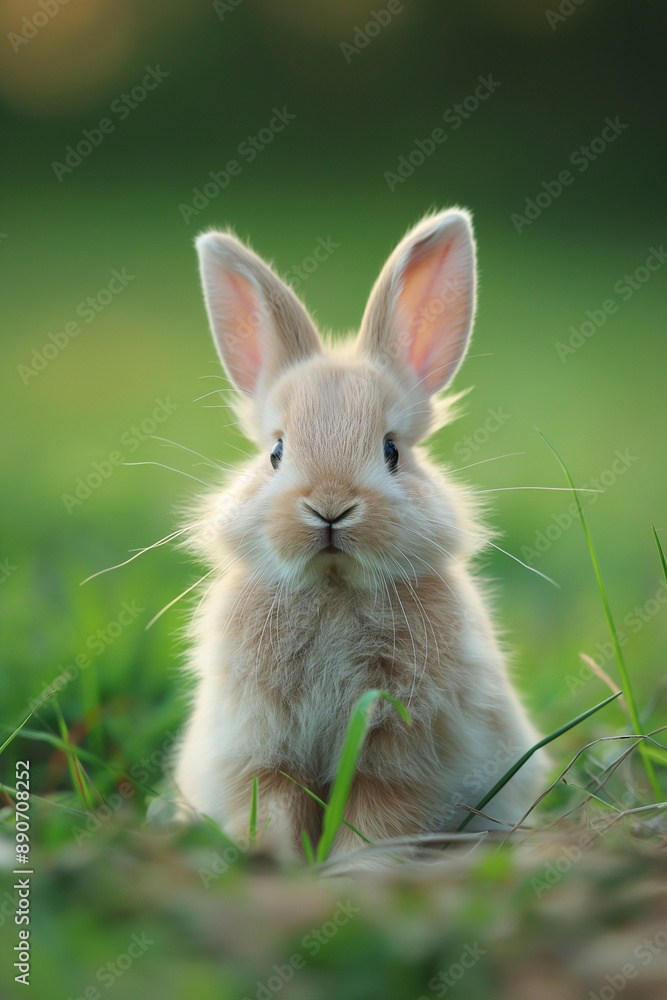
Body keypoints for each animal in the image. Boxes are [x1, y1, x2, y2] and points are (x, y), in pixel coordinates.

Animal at [173, 208, 547, 864]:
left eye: (392, 451)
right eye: (275, 451)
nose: (329, 507)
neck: (333, 587)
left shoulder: (402, 753)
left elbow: (376, 815)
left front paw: (353, 870)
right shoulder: (262, 748)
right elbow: (273, 804)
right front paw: (276, 864)